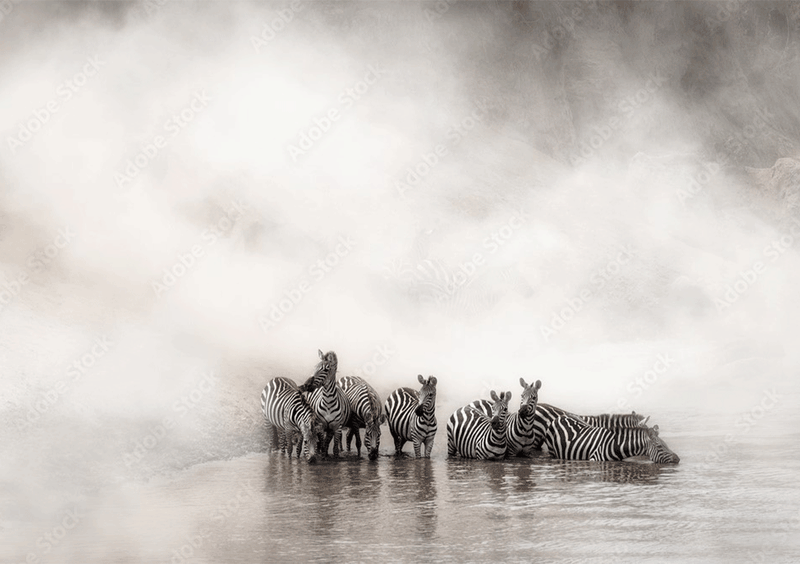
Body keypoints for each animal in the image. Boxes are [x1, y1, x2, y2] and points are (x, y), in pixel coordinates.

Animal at [543, 415, 680, 463]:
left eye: (666, 444)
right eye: (659, 446)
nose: (678, 459)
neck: (615, 445)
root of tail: (560, 417)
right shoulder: (595, 460)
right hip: (552, 451)